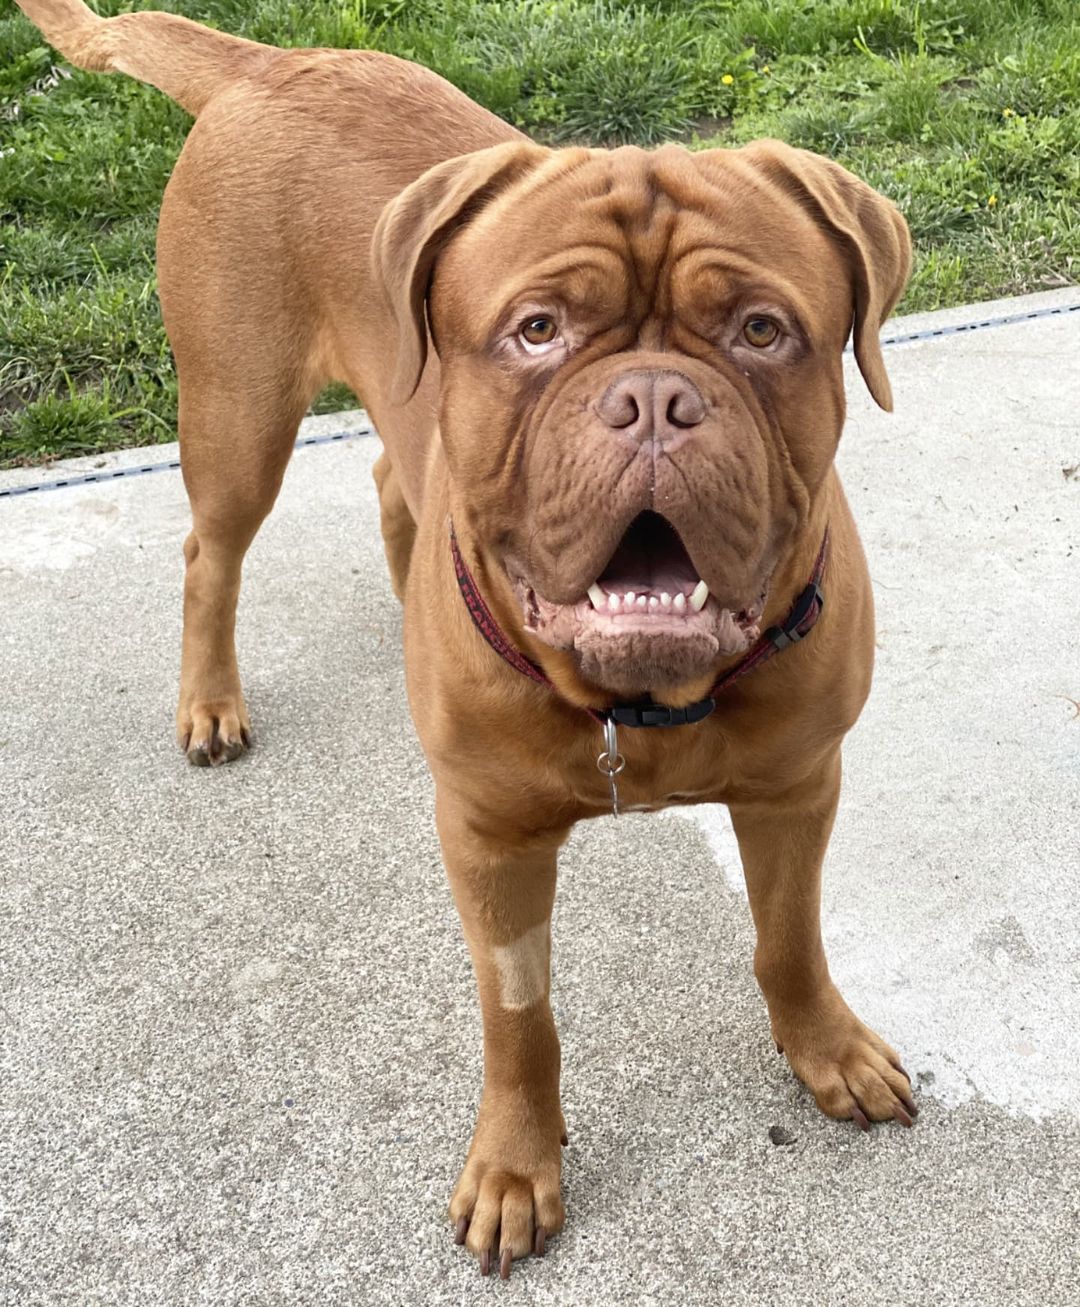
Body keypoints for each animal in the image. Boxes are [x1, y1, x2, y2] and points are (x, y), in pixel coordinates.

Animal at [16, 0, 915, 1275]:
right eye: (537, 330)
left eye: (760, 329)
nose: (653, 398)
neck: (637, 704)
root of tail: (272, 61)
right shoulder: (489, 840)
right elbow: (518, 1015)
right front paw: (515, 1165)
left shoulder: (797, 785)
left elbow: (788, 937)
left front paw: (825, 1046)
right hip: (238, 413)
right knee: (211, 553)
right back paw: (210, 699)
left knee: (393, 469)